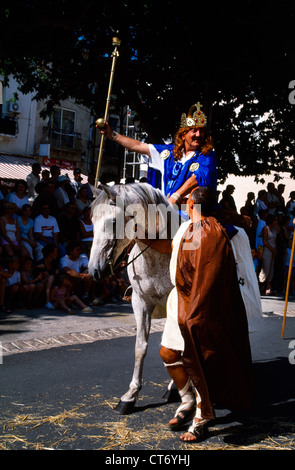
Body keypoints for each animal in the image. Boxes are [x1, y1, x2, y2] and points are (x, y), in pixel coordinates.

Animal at [88, 182, 182, 414]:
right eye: (92, 220)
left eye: (113, 222)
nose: (94, 270)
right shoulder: (140, 302)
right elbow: (140, 347)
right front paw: (130, 396)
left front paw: (175, 388)